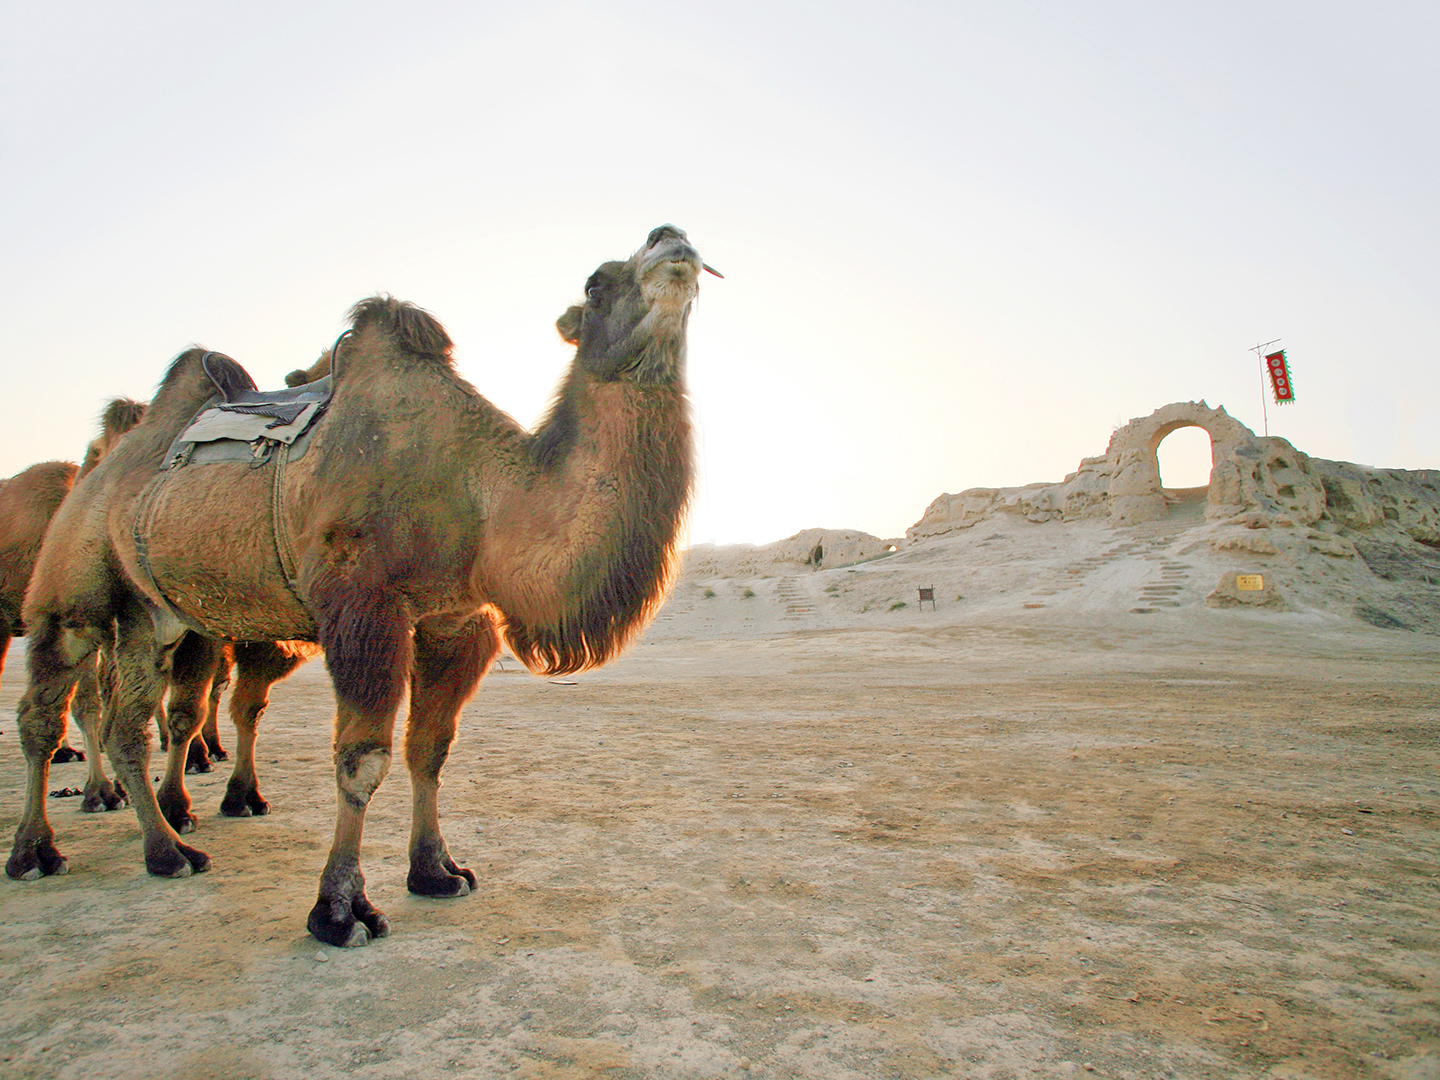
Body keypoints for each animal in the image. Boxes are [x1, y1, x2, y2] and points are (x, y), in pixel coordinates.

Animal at [9, 226, 708, 944]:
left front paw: (437, 872)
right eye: (596, 283)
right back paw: (38, 851)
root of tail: (108, 460)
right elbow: (362, 760)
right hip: (75, 589)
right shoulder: (362, 608)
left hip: (155, 616)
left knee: (130, 722)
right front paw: (340, 909)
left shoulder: (455, 620)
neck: (478, 488)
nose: (671, 239)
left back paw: (167, 850)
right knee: (45, 712)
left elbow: (430, 749)